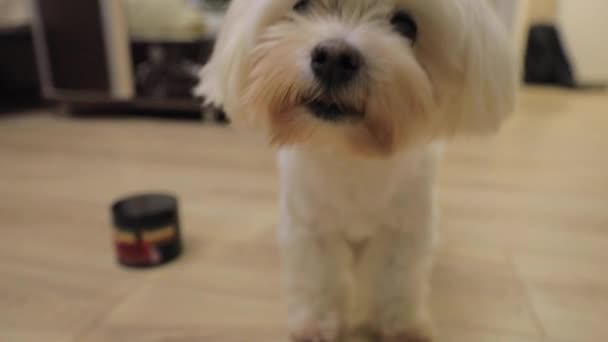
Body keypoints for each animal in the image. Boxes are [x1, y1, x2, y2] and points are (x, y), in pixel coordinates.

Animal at [197, 1, 516, 340]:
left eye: (406, 26)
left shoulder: (403, 228)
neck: (350, 155)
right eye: (301, 7)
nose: (334, 57)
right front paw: (315, 324)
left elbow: (396, 281)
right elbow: (318, 279)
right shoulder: (312, 225)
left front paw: (400, 326)